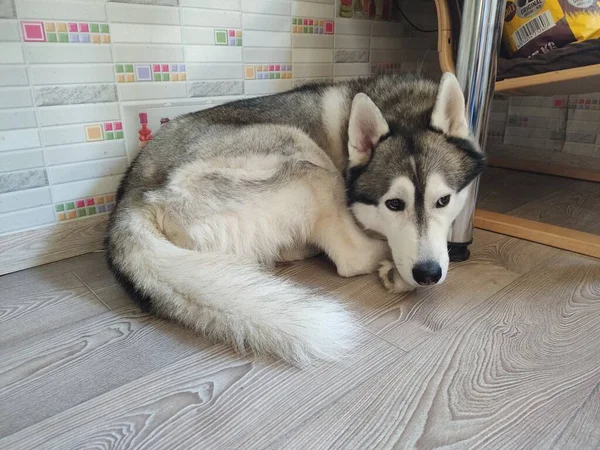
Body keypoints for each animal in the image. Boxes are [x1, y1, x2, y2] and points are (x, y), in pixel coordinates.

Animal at [105, 71, 486, 366]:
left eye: (443, 200)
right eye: (393, 204)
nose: (427, 274)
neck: (398, 104)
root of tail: (133, 199)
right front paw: (399, 266)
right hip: (305, 158)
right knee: (351, 257)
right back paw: (385, 264)